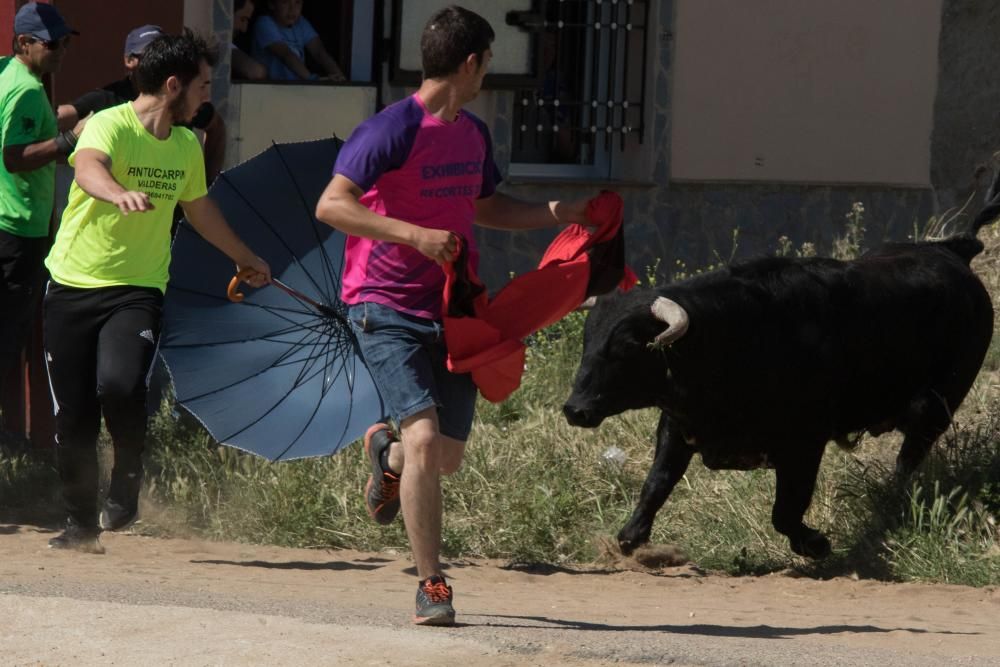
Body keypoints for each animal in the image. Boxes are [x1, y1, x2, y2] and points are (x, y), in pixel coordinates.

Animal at [564, 235, 992, 560]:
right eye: (588, 339)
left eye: (626, 347)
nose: (574, 410)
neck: (734, 335)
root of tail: (949, 251)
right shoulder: (677, 426)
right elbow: (656, 485)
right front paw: (631, 537)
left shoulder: (803, 444)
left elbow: (785, 511)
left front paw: (816, 544)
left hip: (935, 407)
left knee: (909, 456)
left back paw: (892, 498)